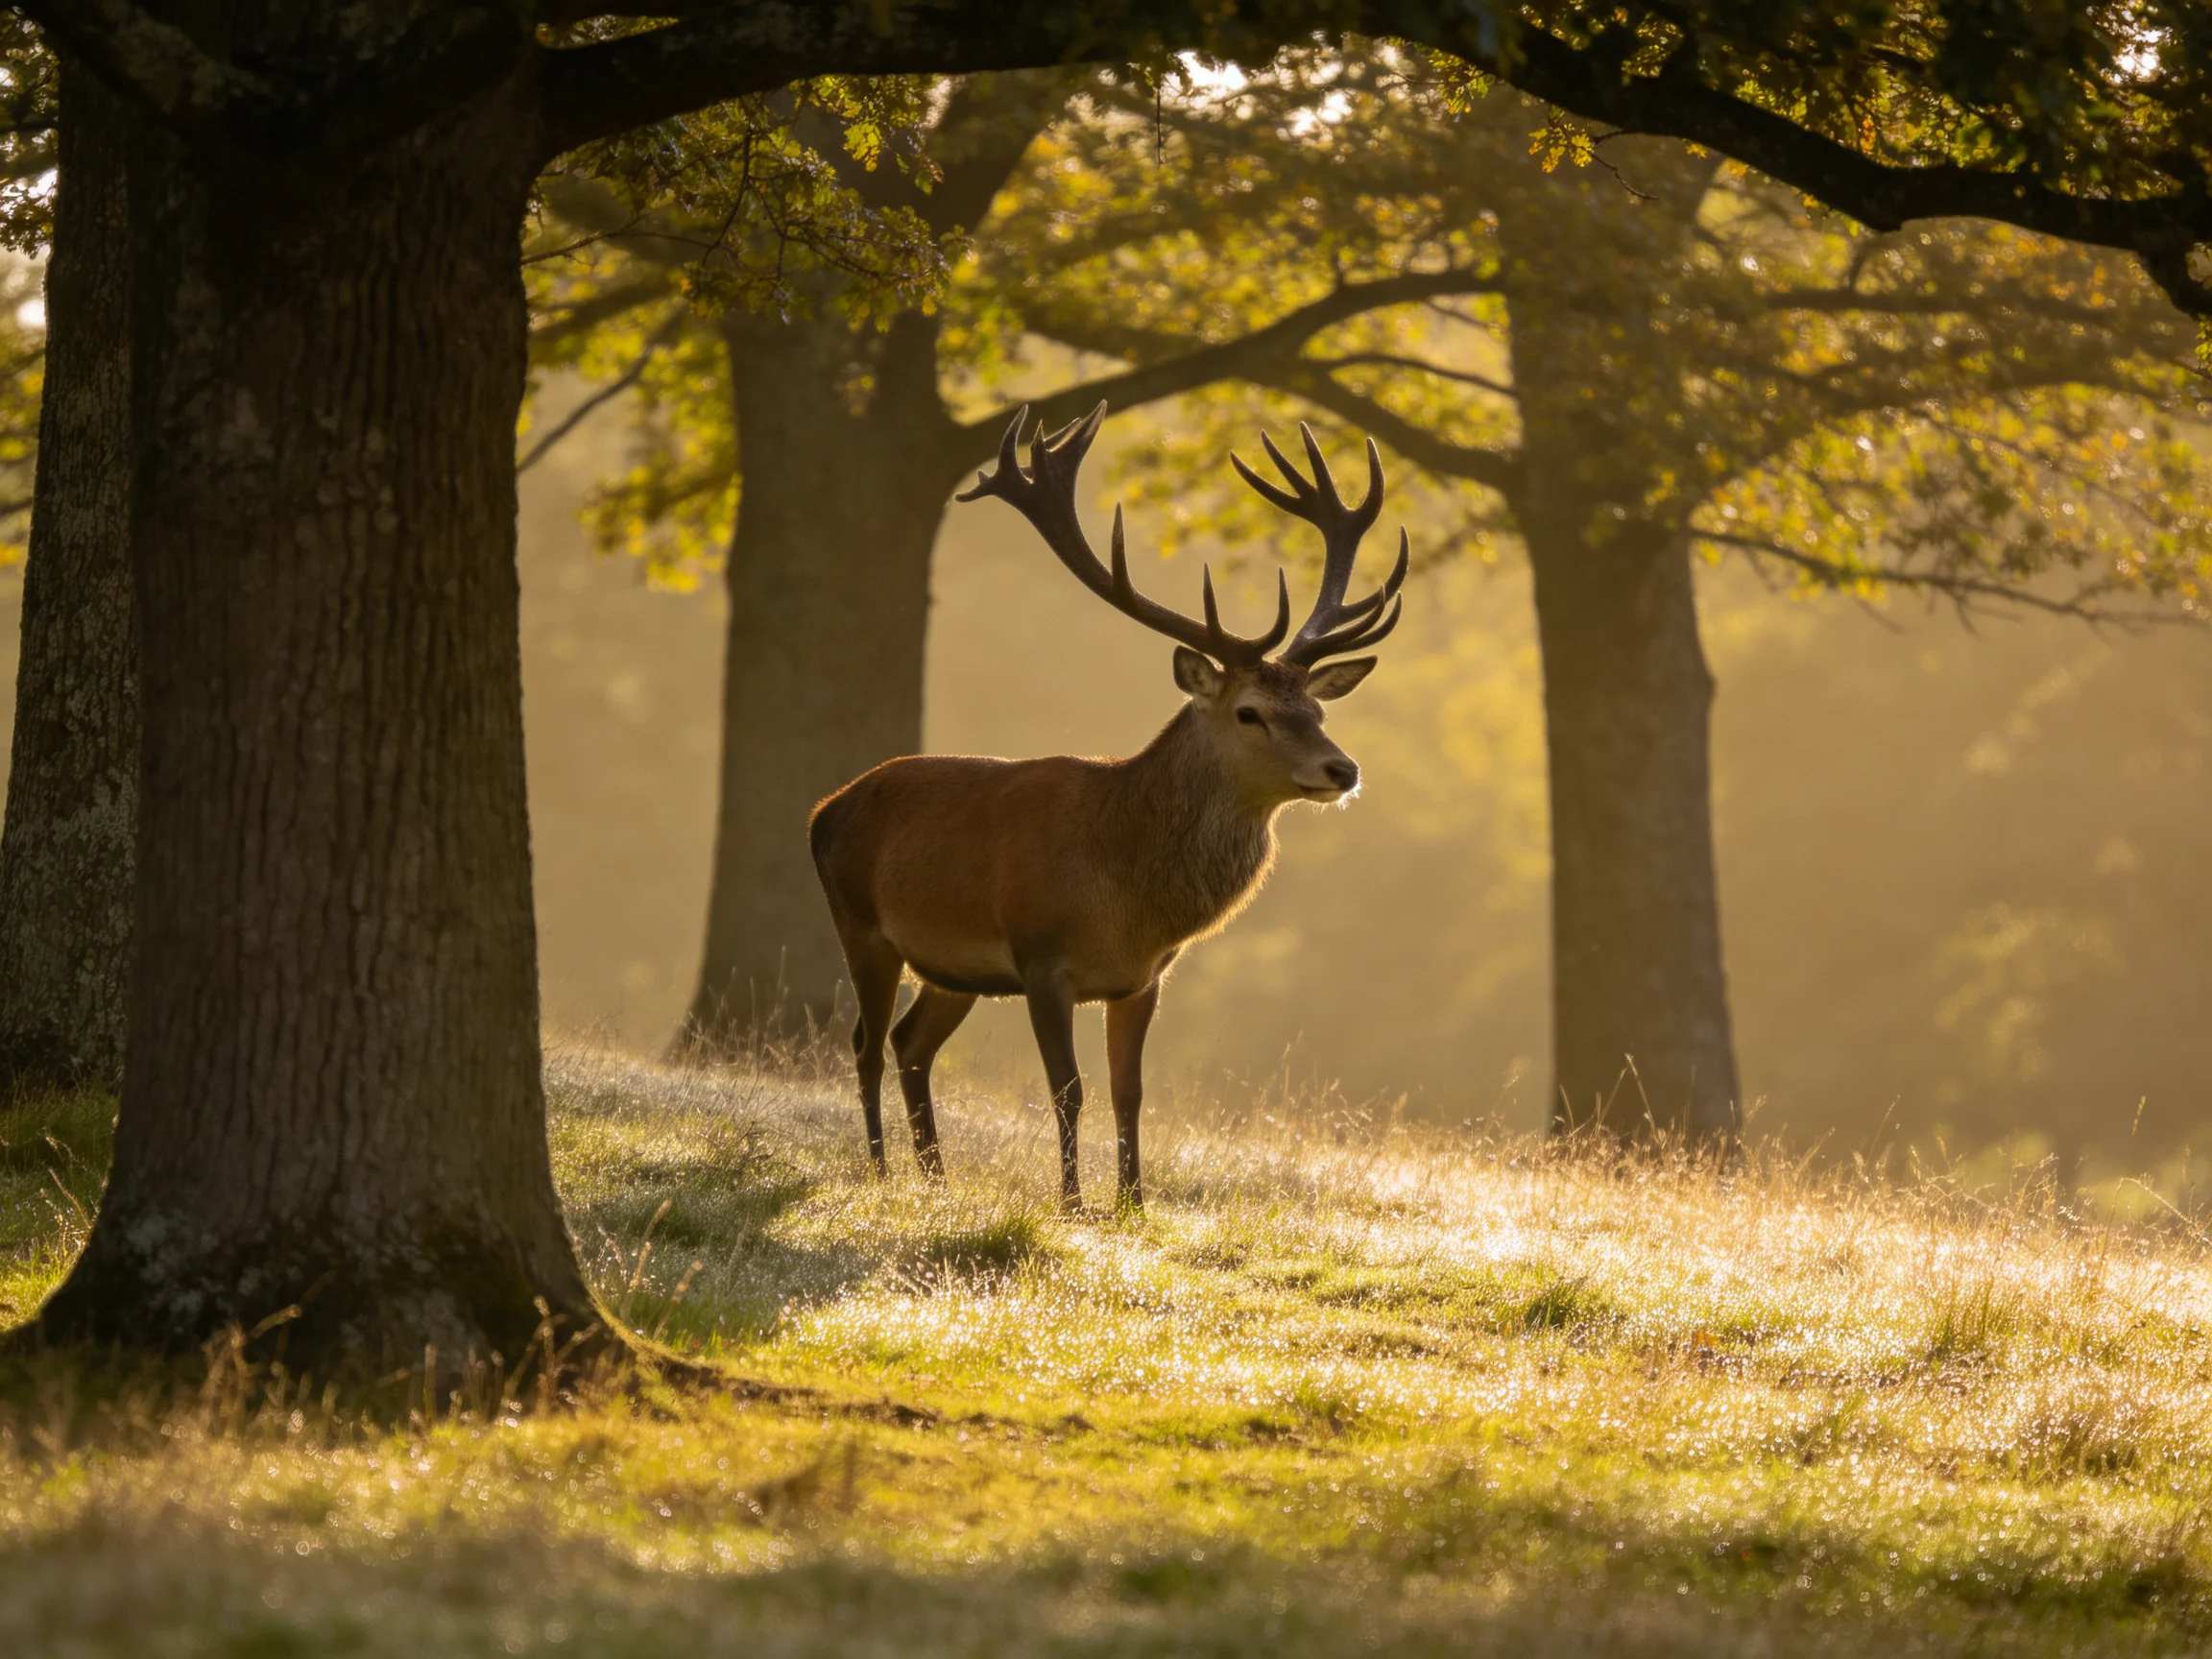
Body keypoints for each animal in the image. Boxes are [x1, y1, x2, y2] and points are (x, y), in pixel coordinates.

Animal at [808, 400, 1408, 1210]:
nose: (1342, 769)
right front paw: (1072, 1203)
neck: (1125, 892)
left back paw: (936, 1178)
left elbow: (1130, 1091)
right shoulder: (1039, 956)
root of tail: (825, 809)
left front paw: (1132, 1202)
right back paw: (878, 1171)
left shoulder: (1144, 978)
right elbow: (1069, 1089)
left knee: (910, 1044)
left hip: (951, 968)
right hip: (862, 925)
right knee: (867, 1044)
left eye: (1316, 708)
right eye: (1250, 712)